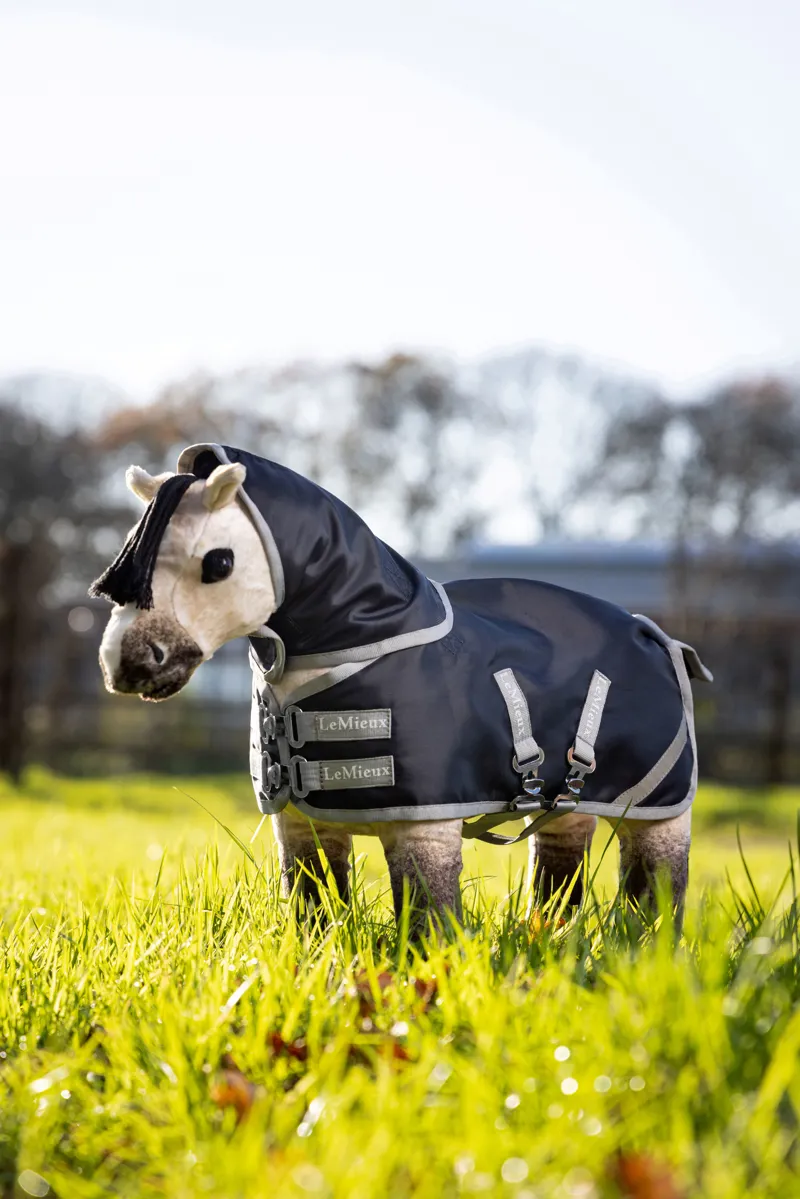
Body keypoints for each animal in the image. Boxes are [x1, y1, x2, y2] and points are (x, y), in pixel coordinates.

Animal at [91, 443, 711, 930]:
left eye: (219, 562)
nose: (128, 664)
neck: (366, 644)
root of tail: (656, 634)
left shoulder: (425, 828)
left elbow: (427, 920)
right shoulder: (303, 825)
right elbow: (315, 911)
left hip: (656, 809)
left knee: (657, 886)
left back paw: (645, 949)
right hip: (568, 805)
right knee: (560, 872)